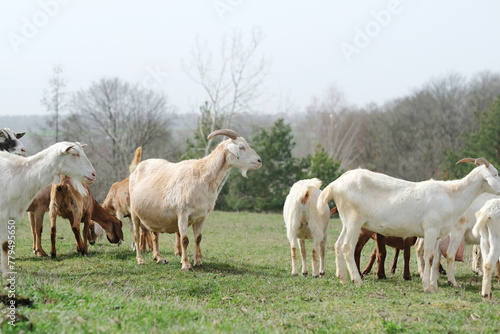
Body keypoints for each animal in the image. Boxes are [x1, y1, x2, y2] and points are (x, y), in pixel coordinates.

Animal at [0, 142, 95, 276]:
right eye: (75, 154)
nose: (93, 174)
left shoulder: (13, 214)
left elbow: (10, 242)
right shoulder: (5, 213)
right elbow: (5, 244)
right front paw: (7, 272)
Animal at [129, 129, 262, 270]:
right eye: (241, 147)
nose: (259, 161)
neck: (202, 174)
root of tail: (136, 167)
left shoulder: (202, 216)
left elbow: (198, 238)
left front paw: (198, 262)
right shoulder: (183, 214)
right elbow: (185, 240)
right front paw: (186, 265)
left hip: (154, 215)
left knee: (155, 234)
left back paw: (159, 258)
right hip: (134, 212)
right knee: (136, 235)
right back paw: (140, 259)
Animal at [316, 158, 500, 290]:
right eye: (495, 174)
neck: (451, 194)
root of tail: (336, 184)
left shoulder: (438, 234)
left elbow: (435, 258)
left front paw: (434, 285)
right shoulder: (431, 229)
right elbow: (429, 257)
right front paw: (427, 286)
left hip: (346, 221)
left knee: (338, 244)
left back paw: (343, 279)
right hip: (355, 220)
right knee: (347, 247)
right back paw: (357, 280)